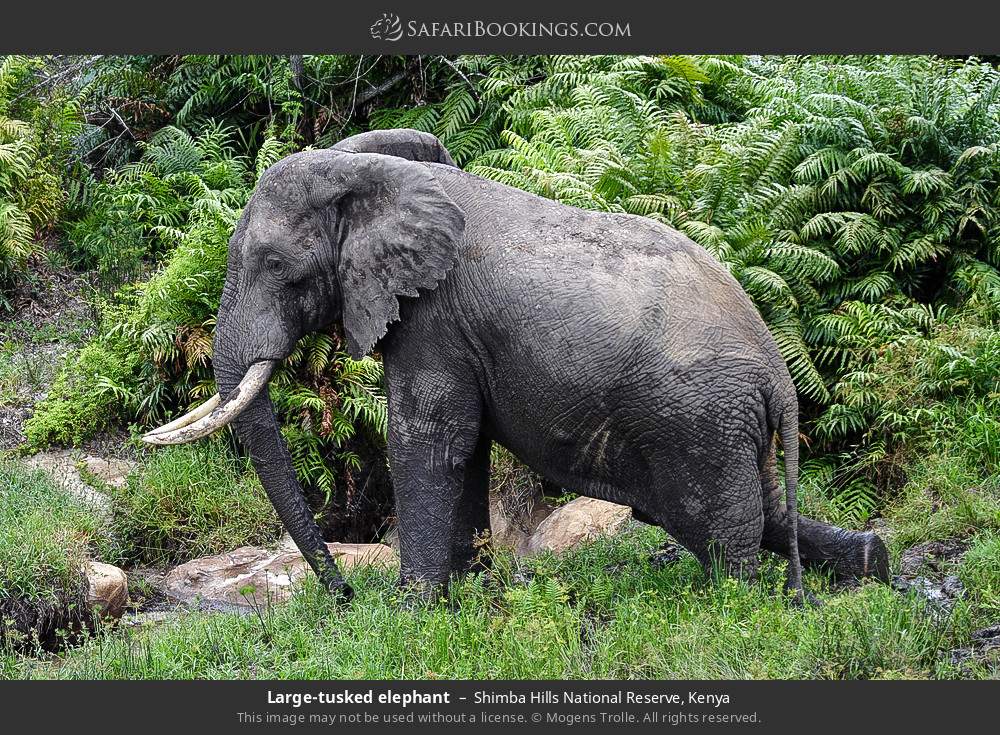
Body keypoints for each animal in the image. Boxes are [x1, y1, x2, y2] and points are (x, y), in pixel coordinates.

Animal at [143, 128, 892, 604]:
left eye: (275, 265)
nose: (345, 594)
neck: (373, 174)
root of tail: (778, 371)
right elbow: (463, 445)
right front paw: (469, 592)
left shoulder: (434, 317)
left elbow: (427, 438)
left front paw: (411, 610)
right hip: (722, 423)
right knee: (751, 510)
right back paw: (869, 565)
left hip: (698, 417)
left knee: (716, 523)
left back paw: (739, 605)